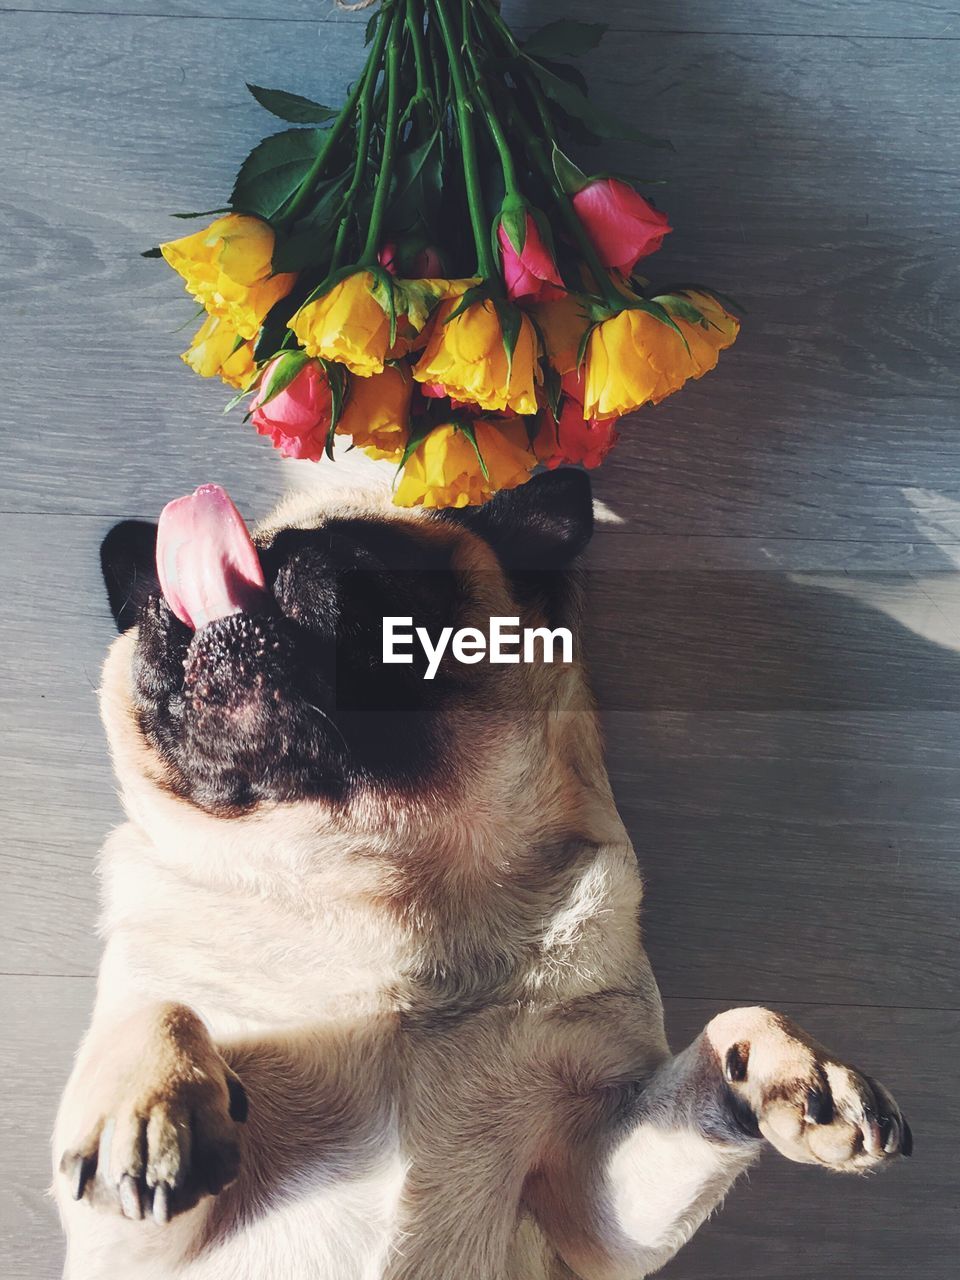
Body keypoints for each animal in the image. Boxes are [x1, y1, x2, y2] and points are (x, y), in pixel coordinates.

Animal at [56, 473, 911, 1280]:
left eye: (365, 555)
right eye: (153, 605)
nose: (257, 558)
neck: (379, 885)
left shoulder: (592, 1206)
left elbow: (731, 1028)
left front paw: (783, 1066)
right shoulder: (130, 1241)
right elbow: (160, 1007)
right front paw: (152, 1107)